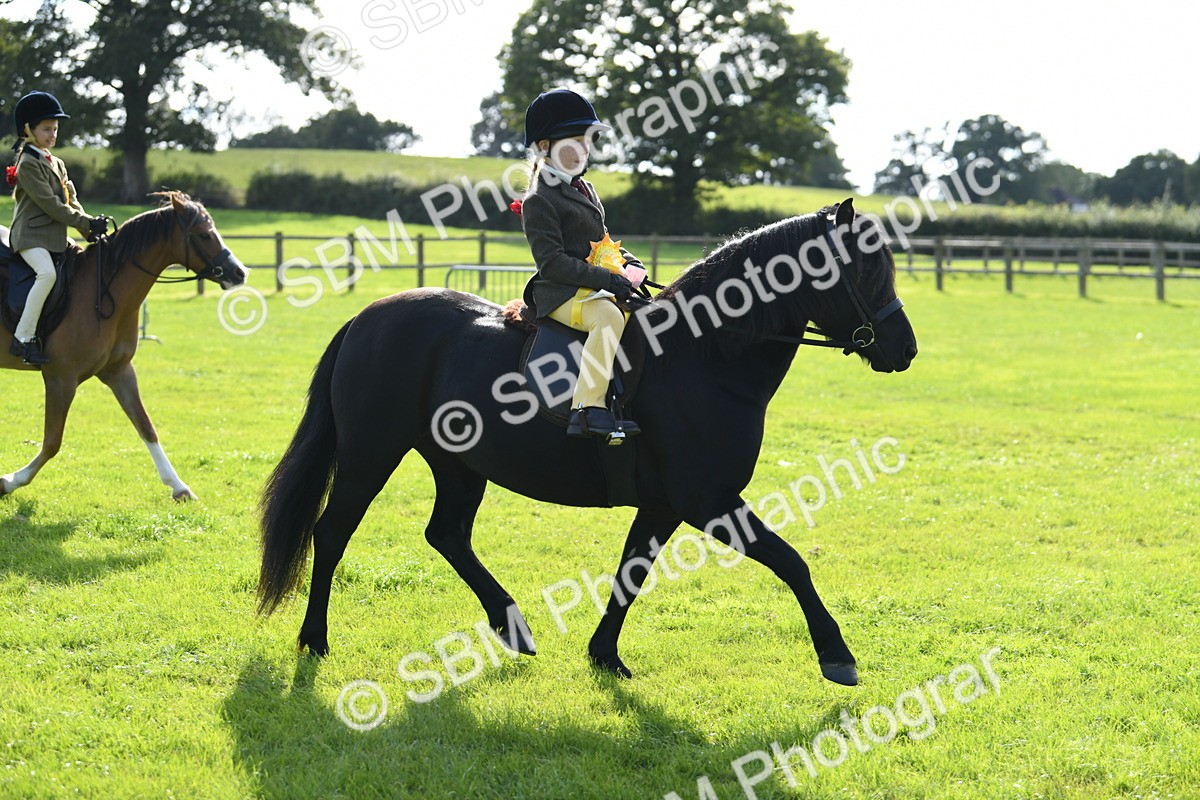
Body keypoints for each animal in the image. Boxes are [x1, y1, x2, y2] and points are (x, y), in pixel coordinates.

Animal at [1, 191, 249, 501]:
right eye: (204, 234)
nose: (239, 273)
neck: (104, 291)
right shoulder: (61, 379)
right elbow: (52, 441)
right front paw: (10, 480)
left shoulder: (119, 372)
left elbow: (146, 426)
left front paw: (179, 487)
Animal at [257, 198, 917, 686]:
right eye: (862, 270)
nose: (905, 349)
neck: (705, 355)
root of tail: (366, 317)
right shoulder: (707, 500)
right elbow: (791, 561)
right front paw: (838, 657)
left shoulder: (664, 504)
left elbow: (632, 571)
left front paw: (605, 655)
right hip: (371, 455)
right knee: (332, 533)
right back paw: (314, 639)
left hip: (459, 463)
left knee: (446, 534)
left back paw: (512, 626)